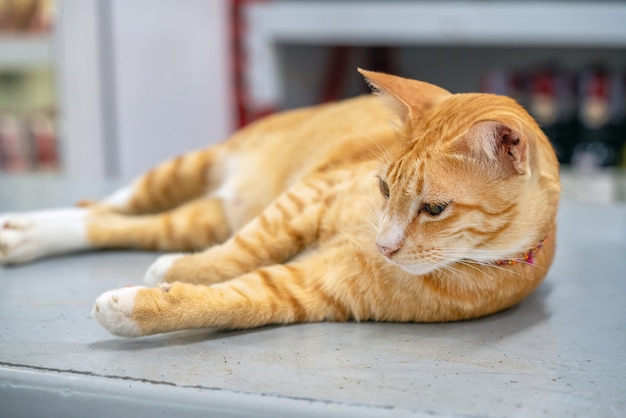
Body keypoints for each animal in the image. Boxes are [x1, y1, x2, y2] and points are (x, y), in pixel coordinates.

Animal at [0, 71, 556, 336]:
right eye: (382, 188)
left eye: (435, 210)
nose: (384, 247)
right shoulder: (308, 197)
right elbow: (247, 248)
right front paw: (180, 270)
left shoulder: (313, 289)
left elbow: (237, 299)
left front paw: (139, 304)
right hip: (185, 169)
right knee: (106, 206)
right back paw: (26, 227)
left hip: (197, 218)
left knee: (121, 224)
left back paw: (24, 238)